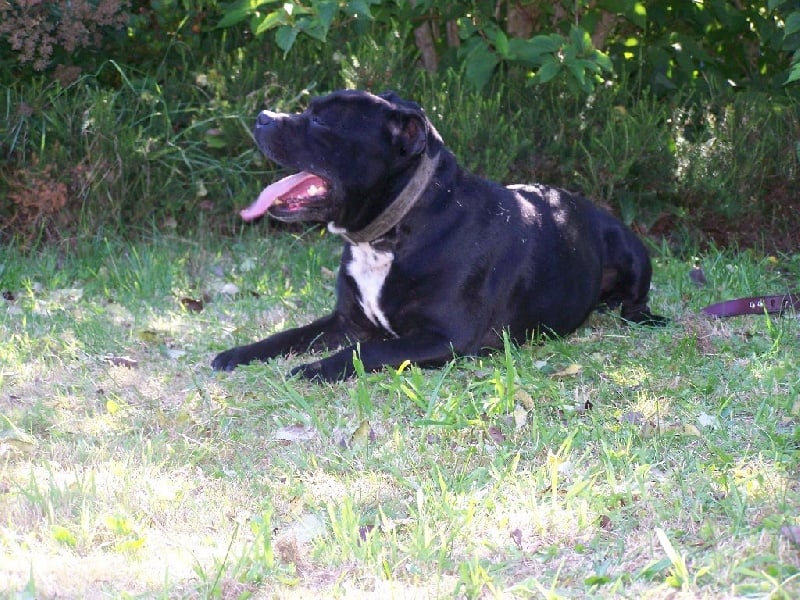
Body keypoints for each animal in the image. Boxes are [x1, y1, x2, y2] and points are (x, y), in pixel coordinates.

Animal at [212, 90, 666, 381]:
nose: (262, 117)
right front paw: (239, 354)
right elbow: (289, 335)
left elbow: (367, 351)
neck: (391, 234)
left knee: (635, 300)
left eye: (322, 119)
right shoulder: (346, 321)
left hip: (630, 249)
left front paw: (313, 369)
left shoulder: (443, 338)